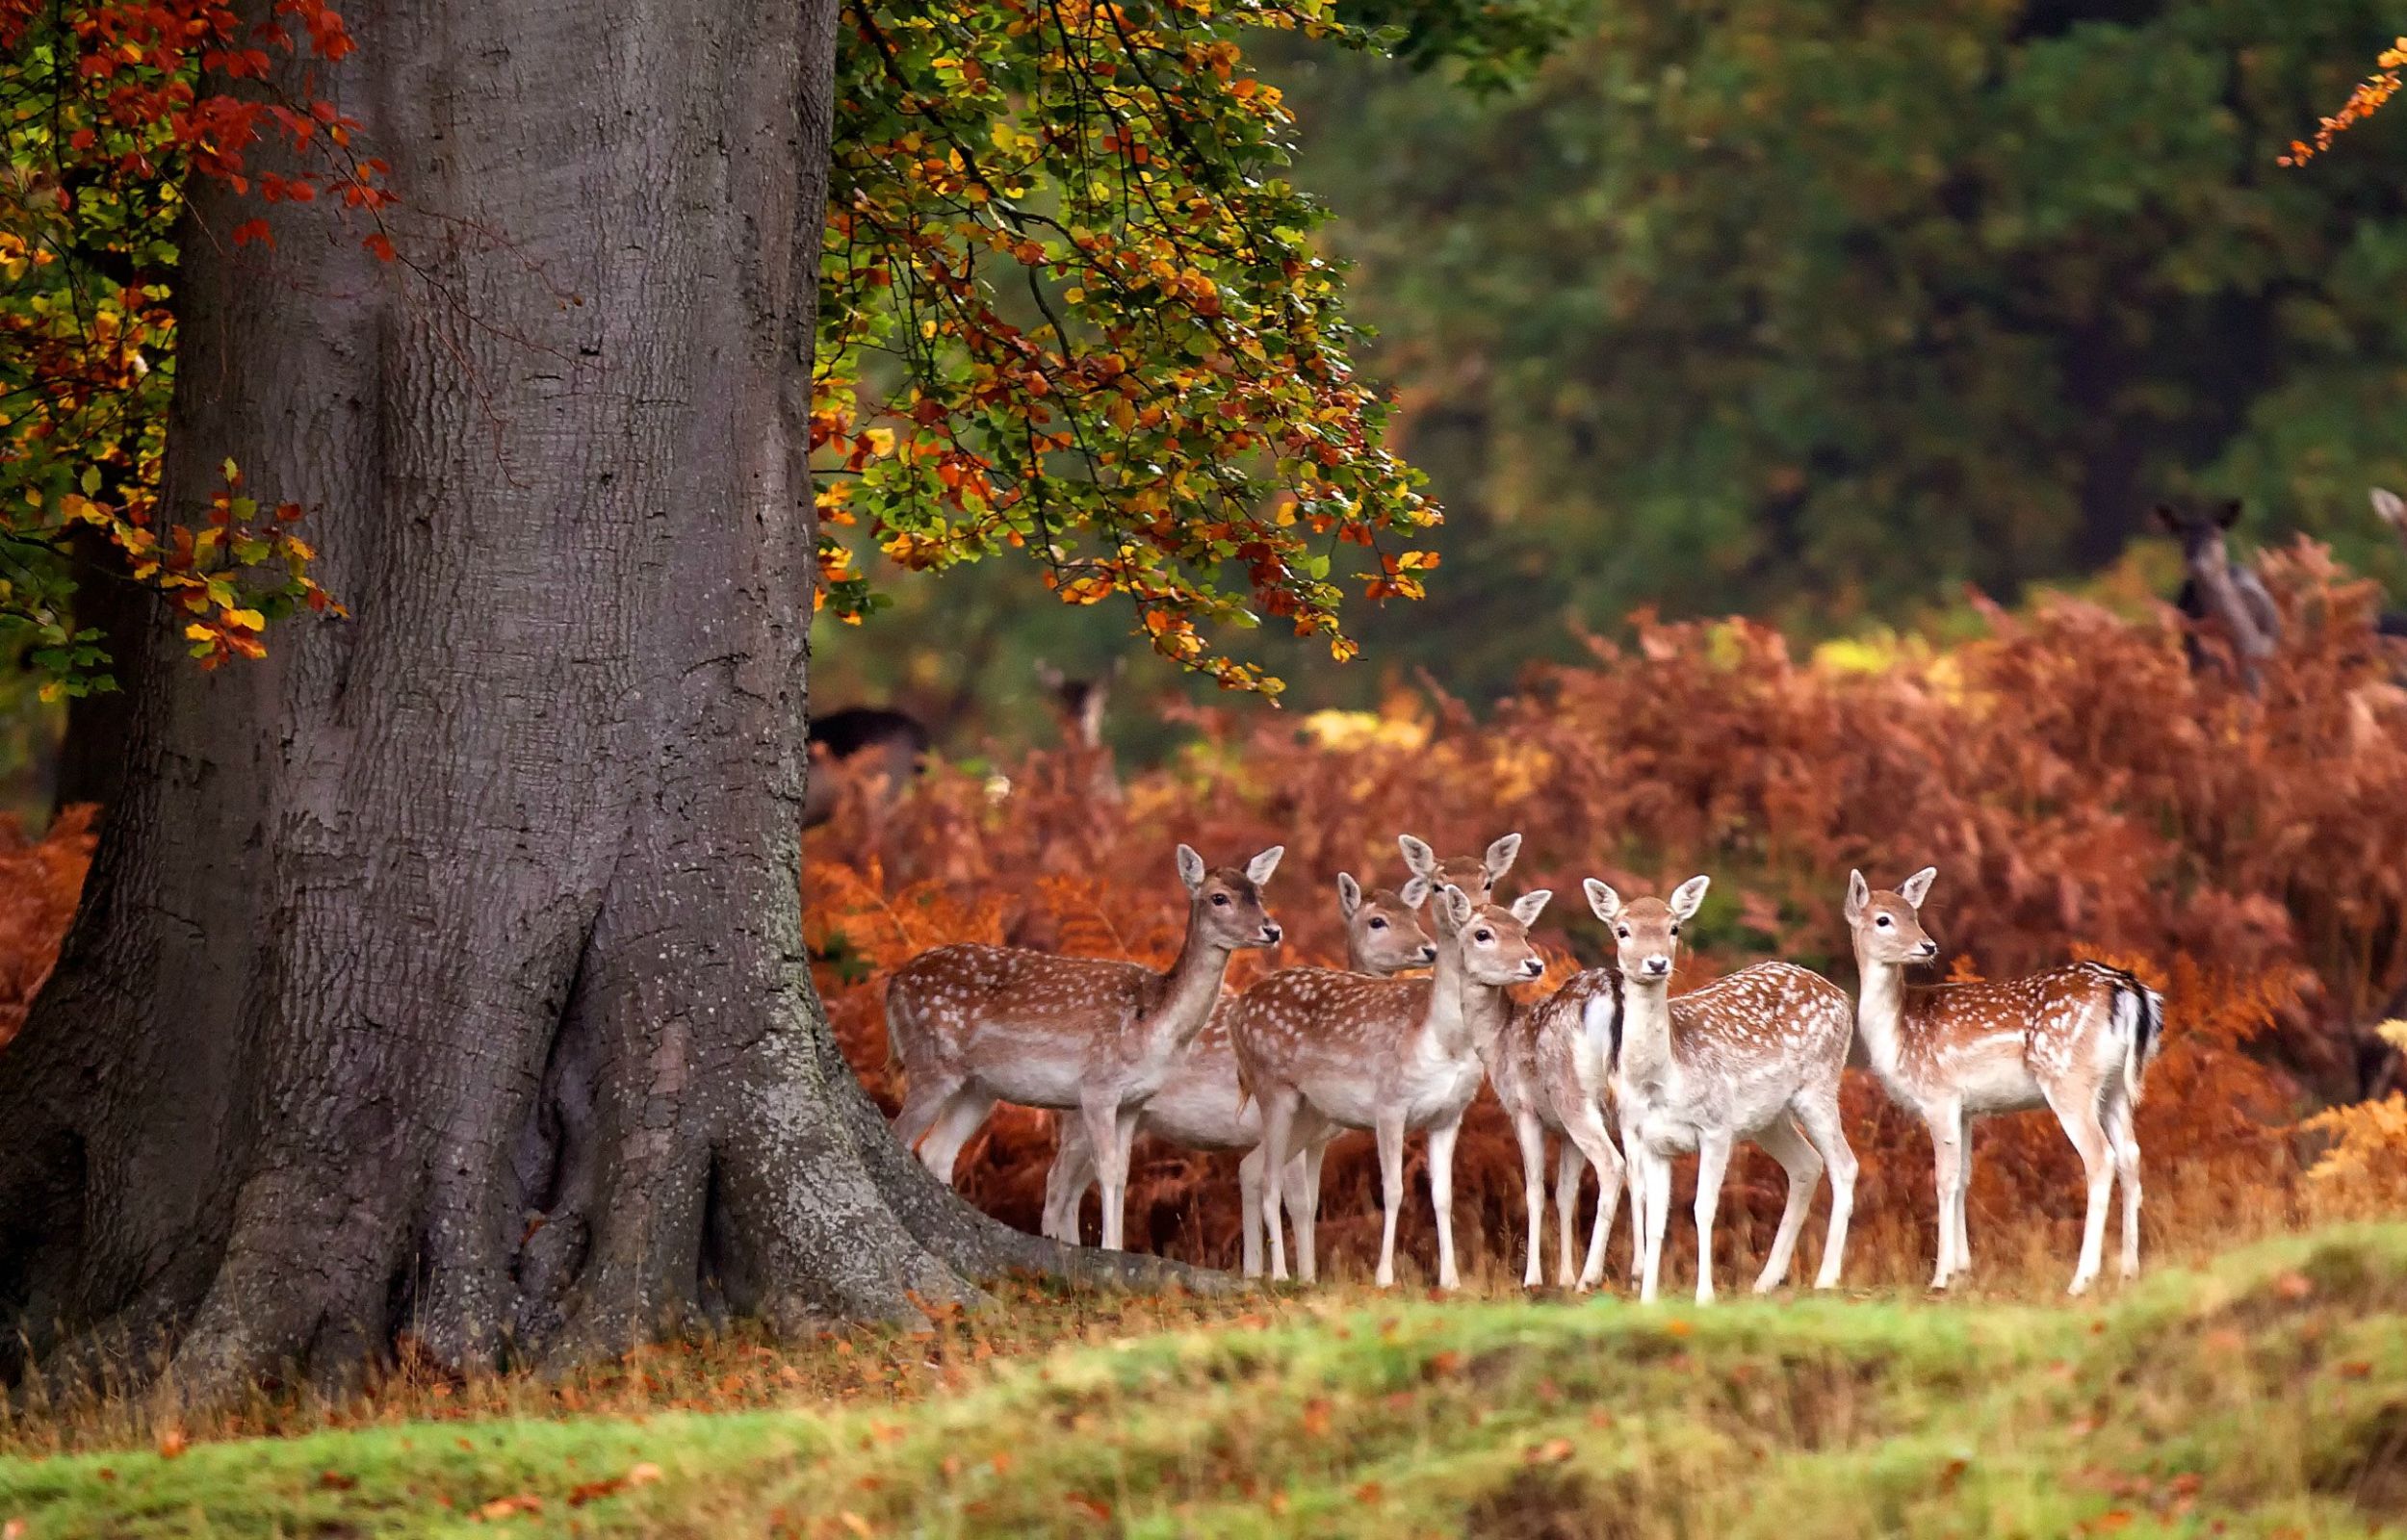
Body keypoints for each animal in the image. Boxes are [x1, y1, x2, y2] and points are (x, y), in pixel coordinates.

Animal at [886, 842, 1290, 1251]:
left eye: (1259, 894)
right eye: (1219, 898)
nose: (1272, 930)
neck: (1154, 1025)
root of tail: (893, 985)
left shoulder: (1133, 1101)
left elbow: (1123, 1173)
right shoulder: (1098, 1086)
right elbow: (1107, 1170)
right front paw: (1111, 1248)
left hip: (978, 1089)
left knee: (937, 1150)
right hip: (931, 1062)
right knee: (902, 1135)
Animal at [1045, 866, 1435, 1270]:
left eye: (1414, 915)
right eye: (1378, 921)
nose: (1429, 948)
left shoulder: (1317, 1139)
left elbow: (1308, 1203)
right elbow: (1296, 1202)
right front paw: (1295, 1275)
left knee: (1075, 1187)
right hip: (1081, 1111)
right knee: (1057, 1183)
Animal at [1232, 876, 1550, 1290]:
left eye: (1525, 932)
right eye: (1483, 934)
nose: (1534, 963)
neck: (1443, 1041)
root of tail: (1238, 1010)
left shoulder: (1448, 1115)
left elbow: (1443, 1195)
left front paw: (1450, 1280)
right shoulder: (1389, 1105)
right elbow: (1394, 1190)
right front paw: (1384, 1277)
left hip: (1312, 1112)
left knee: (1253, 1168)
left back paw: (1269, 1274)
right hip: (1273, 1087)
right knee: (1270, 1178)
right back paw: (1282, 1275)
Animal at [1598, 876, 1858, 1299]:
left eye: (1674, 927)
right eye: (1622, 930)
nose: (1657, 963)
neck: (1663, 1080)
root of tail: (1842, 996)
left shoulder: (1716, 1126)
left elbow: (1703, 1209)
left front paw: (1704, 1295)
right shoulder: (1650, 1140)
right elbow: (1655, 1218)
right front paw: (1648, 1297)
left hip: (1819, 1084)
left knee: (1844, 1164)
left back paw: (1826, 1277)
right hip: (1768, 1118)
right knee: (1807, 1164)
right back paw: (1766, 1280)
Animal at [1849, 871, 2176, 1290]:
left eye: (1913, 914)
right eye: (1884, 919)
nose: (1928, 945)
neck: (1897, 1035)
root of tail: (2130, 991)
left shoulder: (1937, 1094)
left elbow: (1944, 1179)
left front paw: (1940, 1277)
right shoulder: (1965, 1108)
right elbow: (1964, 1177)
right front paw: (1962, 1270)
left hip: (2068, 1077)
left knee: (2101, 1157)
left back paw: (2081, 1279)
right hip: (2115, 1086)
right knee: (2131, 1155)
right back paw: (2129, 1271)